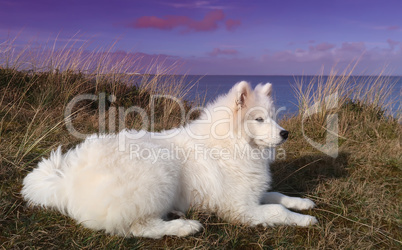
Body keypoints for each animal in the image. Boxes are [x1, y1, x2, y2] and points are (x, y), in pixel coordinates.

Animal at [22, 81, 318, 238]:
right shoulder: (239, 207)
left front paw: (302, 203)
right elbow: (276, 210)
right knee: (139, 227)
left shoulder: (252, 193)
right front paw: (303, 220)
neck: (230, 144)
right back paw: (184, 226)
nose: (286, 133)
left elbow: (277, 195)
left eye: (274, 118)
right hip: (159, 174)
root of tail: (66, 180)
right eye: (259, 119)